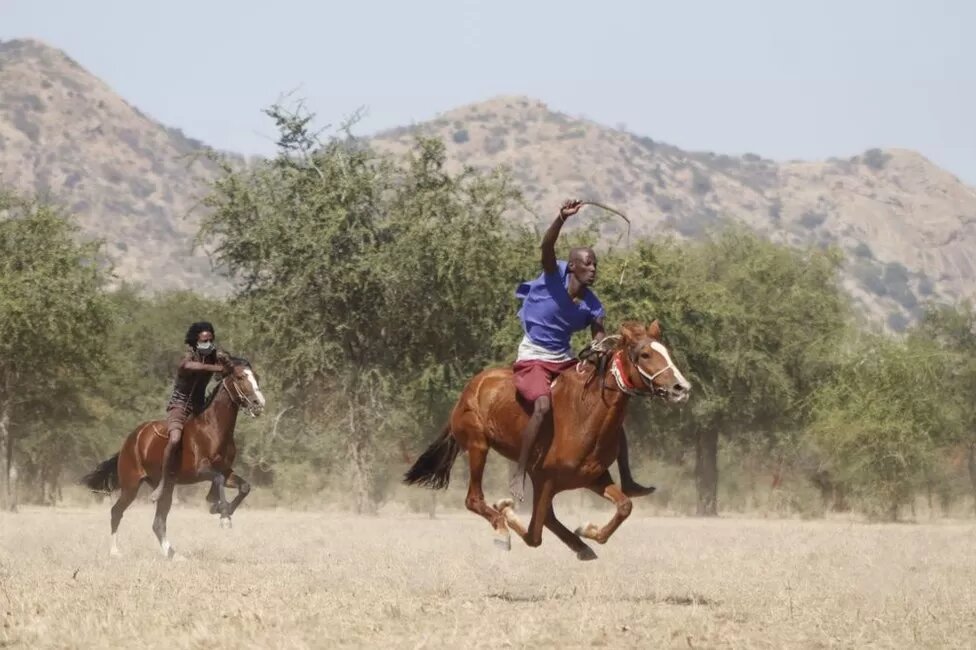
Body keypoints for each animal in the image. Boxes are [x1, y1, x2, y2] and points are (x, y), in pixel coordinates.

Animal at [80, 356, 264, 556]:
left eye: (256, 377)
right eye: (240, 377)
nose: (259, 404)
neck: (213, 428)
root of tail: (129, 442)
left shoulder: (226, 470)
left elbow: (243, 486)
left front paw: (221, 509)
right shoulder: (201, 470)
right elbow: (218, 480)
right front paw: (222, 514)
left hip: (165, 486)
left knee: (158, 523)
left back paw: (172, 554)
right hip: (131, 485)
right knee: (116, 512)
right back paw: (115, 552)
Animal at [404, 318, 692, 556]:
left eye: (666, 352)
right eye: (645, 354)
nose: (681, 388)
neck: (584, 416)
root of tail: (470, 389)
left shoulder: (593, 478)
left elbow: (624, 506)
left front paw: (589, 531)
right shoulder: (543, 480)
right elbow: (533, 536)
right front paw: (507, 513)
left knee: (550, 518)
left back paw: (580, 545)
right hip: (478, 446)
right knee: (474, 499)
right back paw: (502, 526)